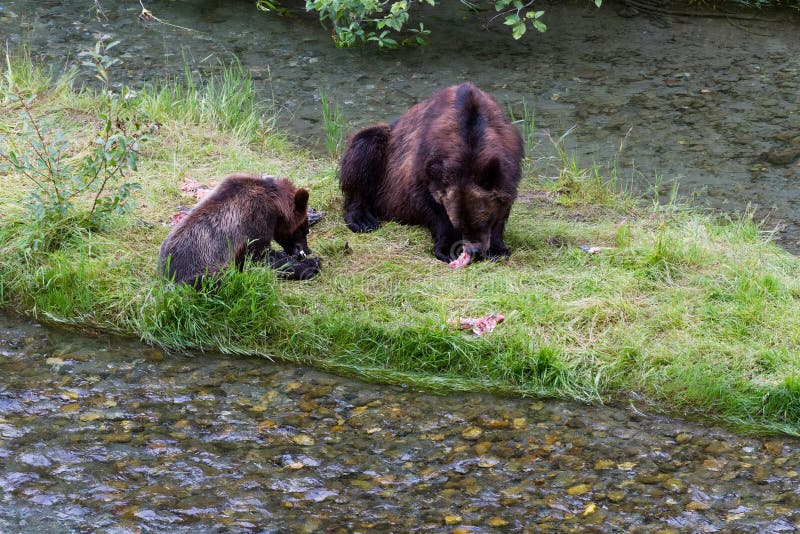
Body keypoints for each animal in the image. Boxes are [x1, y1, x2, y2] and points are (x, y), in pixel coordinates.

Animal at [159, 174, 322, 286]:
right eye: (304, 228)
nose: (308, 250)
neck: (275, 205)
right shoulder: (254, 225)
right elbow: (261, 257)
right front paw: (310, 265)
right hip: (202, 271)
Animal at [340, 83, 520, 268]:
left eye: (482, 222)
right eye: (460, 226)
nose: (474, 250)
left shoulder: (508, 165)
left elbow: (503, 205)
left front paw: (497, 249)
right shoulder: (425, 166)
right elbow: (431, 204)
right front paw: (448, 248)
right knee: (367, 143)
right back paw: (363, 220)